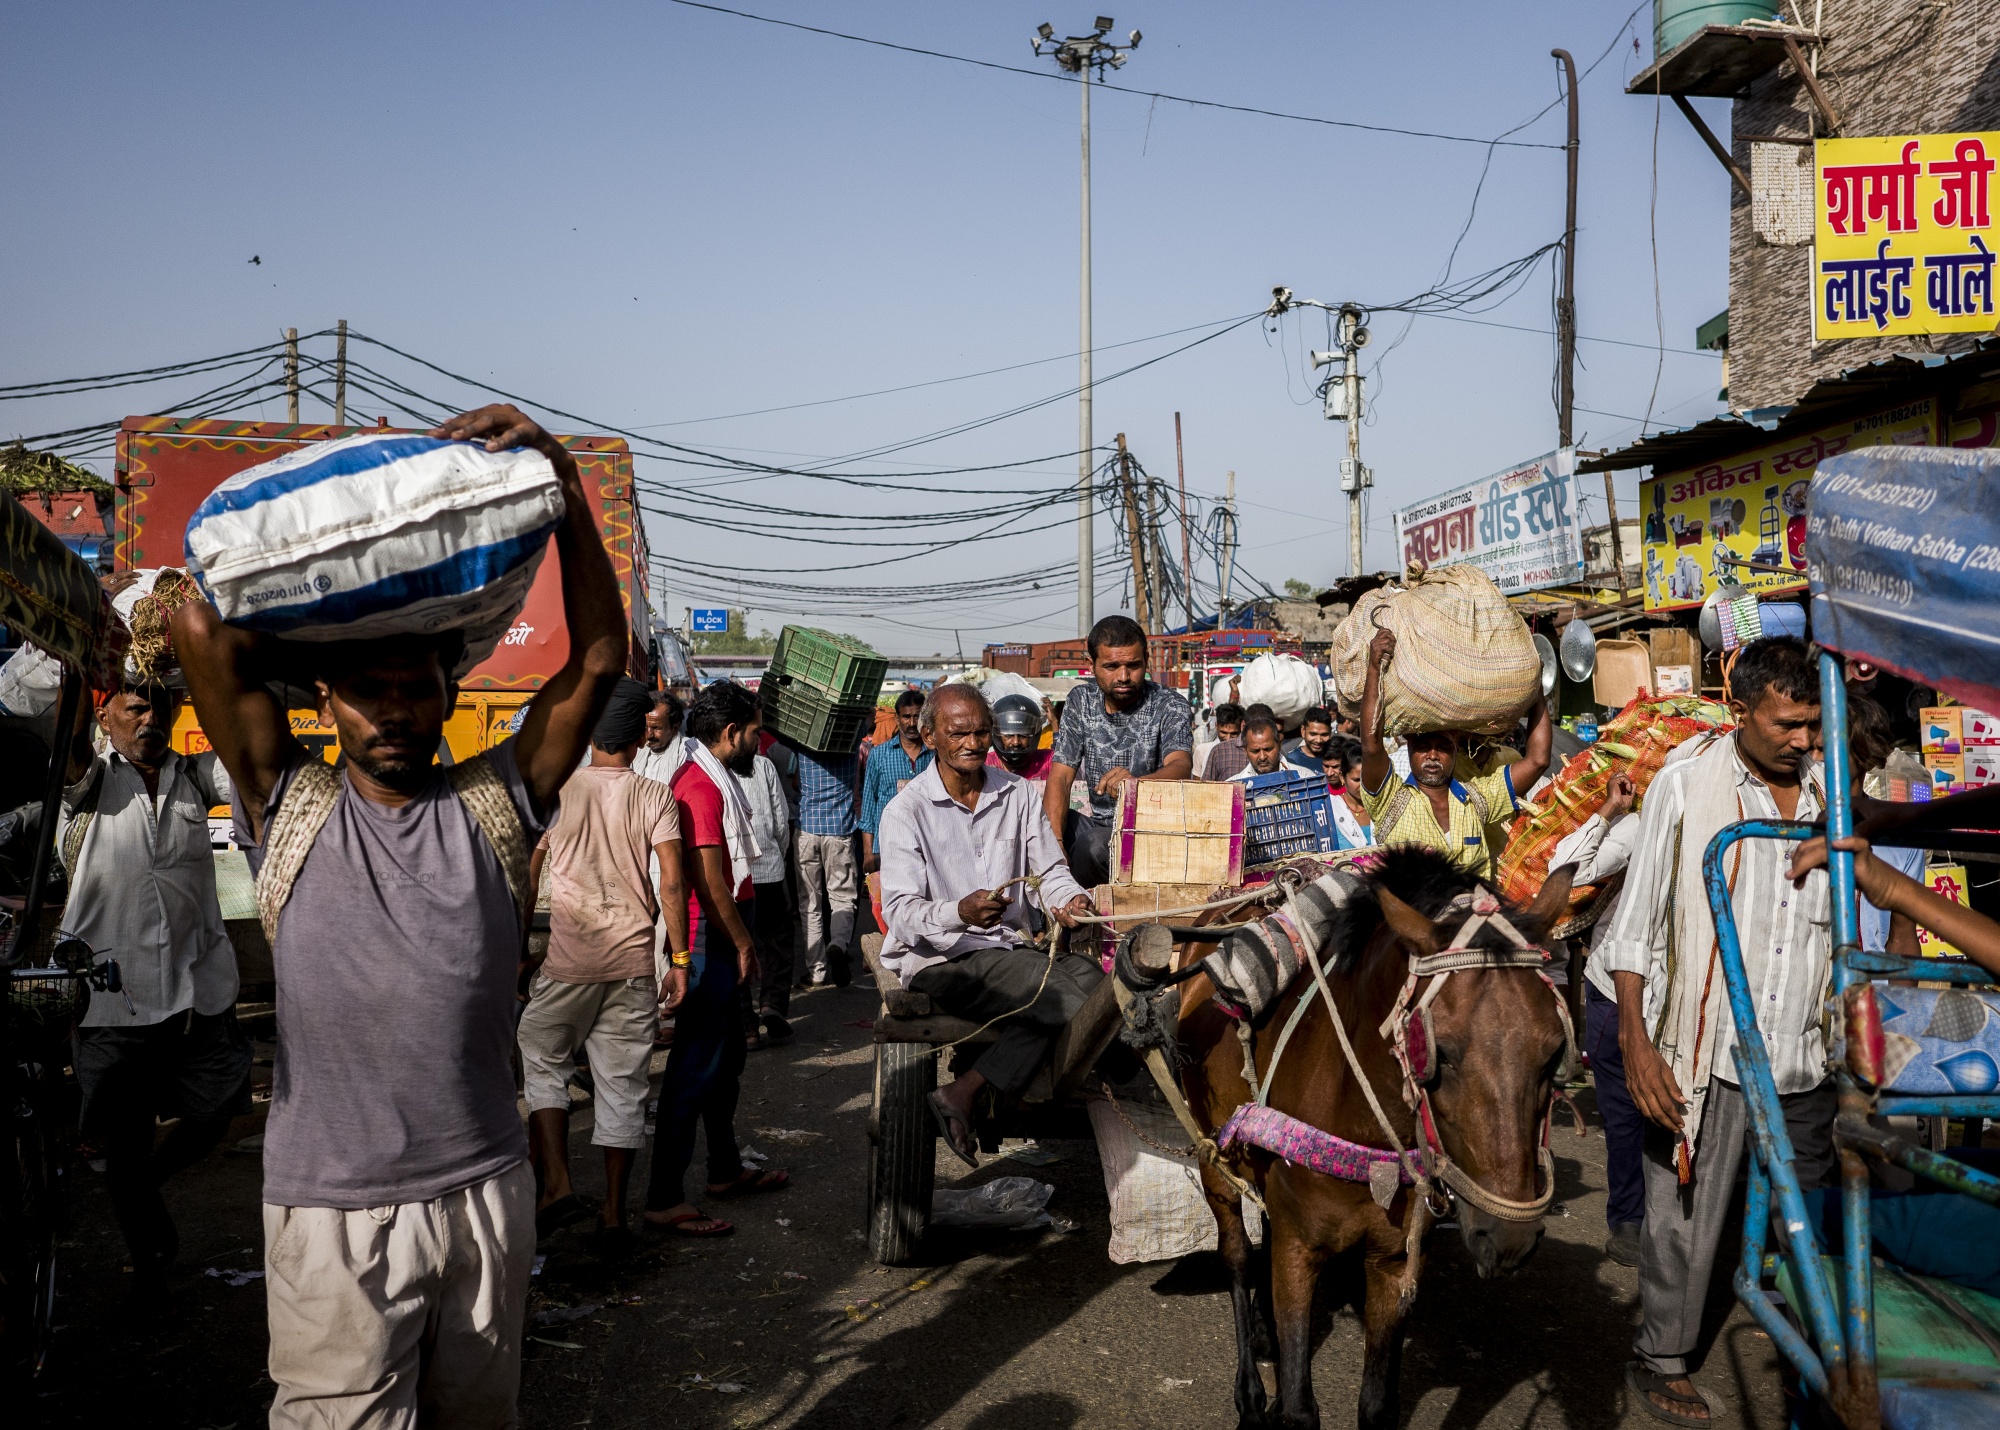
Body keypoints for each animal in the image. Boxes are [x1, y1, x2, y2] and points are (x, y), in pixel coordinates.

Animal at [1168, 852, 1568, 1430]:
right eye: (1437, 1052)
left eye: (1556, 1051)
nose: (1508, 1237)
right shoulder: (1298, 1248)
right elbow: (1298, 1408)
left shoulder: (1393, 1260)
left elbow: (1377, 1405)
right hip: (1212, 1156)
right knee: (1238, 1255)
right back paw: (1249, 1388)